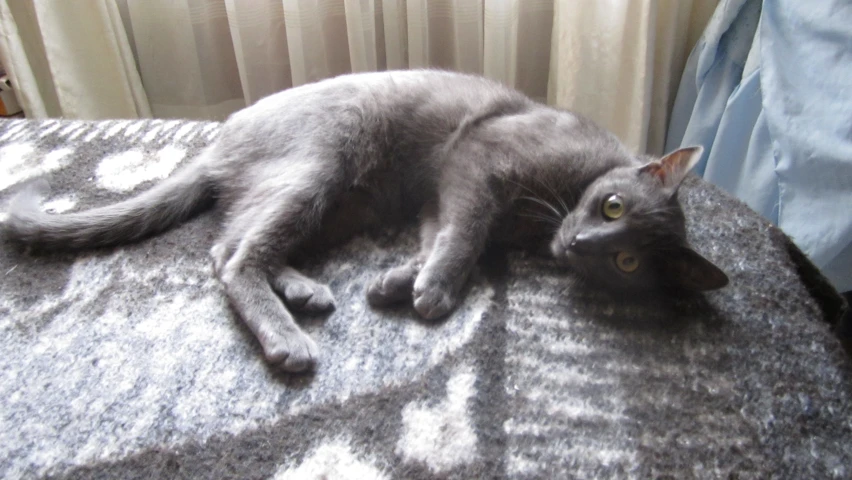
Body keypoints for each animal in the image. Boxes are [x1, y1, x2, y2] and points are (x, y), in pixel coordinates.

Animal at [3, 70, 728, 372]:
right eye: (612, 207)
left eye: (626, 261)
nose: (582, 242)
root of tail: (219, 139)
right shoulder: (474, 162)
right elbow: (464, 237)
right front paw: (433, 292)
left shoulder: (445, 199)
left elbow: (441, 238)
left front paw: (401, 282)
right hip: (321, 163)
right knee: (235, 260)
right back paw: (288, 338)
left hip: (331, 203)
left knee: (228, 247)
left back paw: (302, 291)